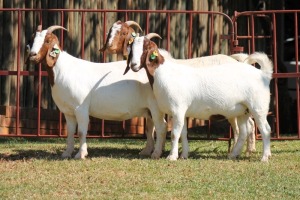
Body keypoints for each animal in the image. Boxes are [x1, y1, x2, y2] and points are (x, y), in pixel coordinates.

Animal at [28, 25, 168, 159]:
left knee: (161, 127)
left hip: (156, 106)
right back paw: (147, 151)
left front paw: (81, 154)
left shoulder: (81, 108)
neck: (63, 70)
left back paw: (156, 153)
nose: (32, 55)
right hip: (148, 109)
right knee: (151, 127)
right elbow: (70, 132)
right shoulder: (68, 111)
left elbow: (81, 132)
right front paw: (67, 153)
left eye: (47, 41)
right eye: (32, 39)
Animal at [127, 37, 274, 162]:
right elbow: (183, 133)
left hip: (258, 107)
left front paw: (172, 157)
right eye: (131, 48)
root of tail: (264, 74)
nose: (134, 65)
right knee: (244, 131)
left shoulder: (178, 109)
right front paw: (184, 155)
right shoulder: (182, 112)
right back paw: (233, 155)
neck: (164, 73)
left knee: (265, 129)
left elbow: (175, 134)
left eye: (146, 48)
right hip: (243, 110)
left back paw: (264, 157)